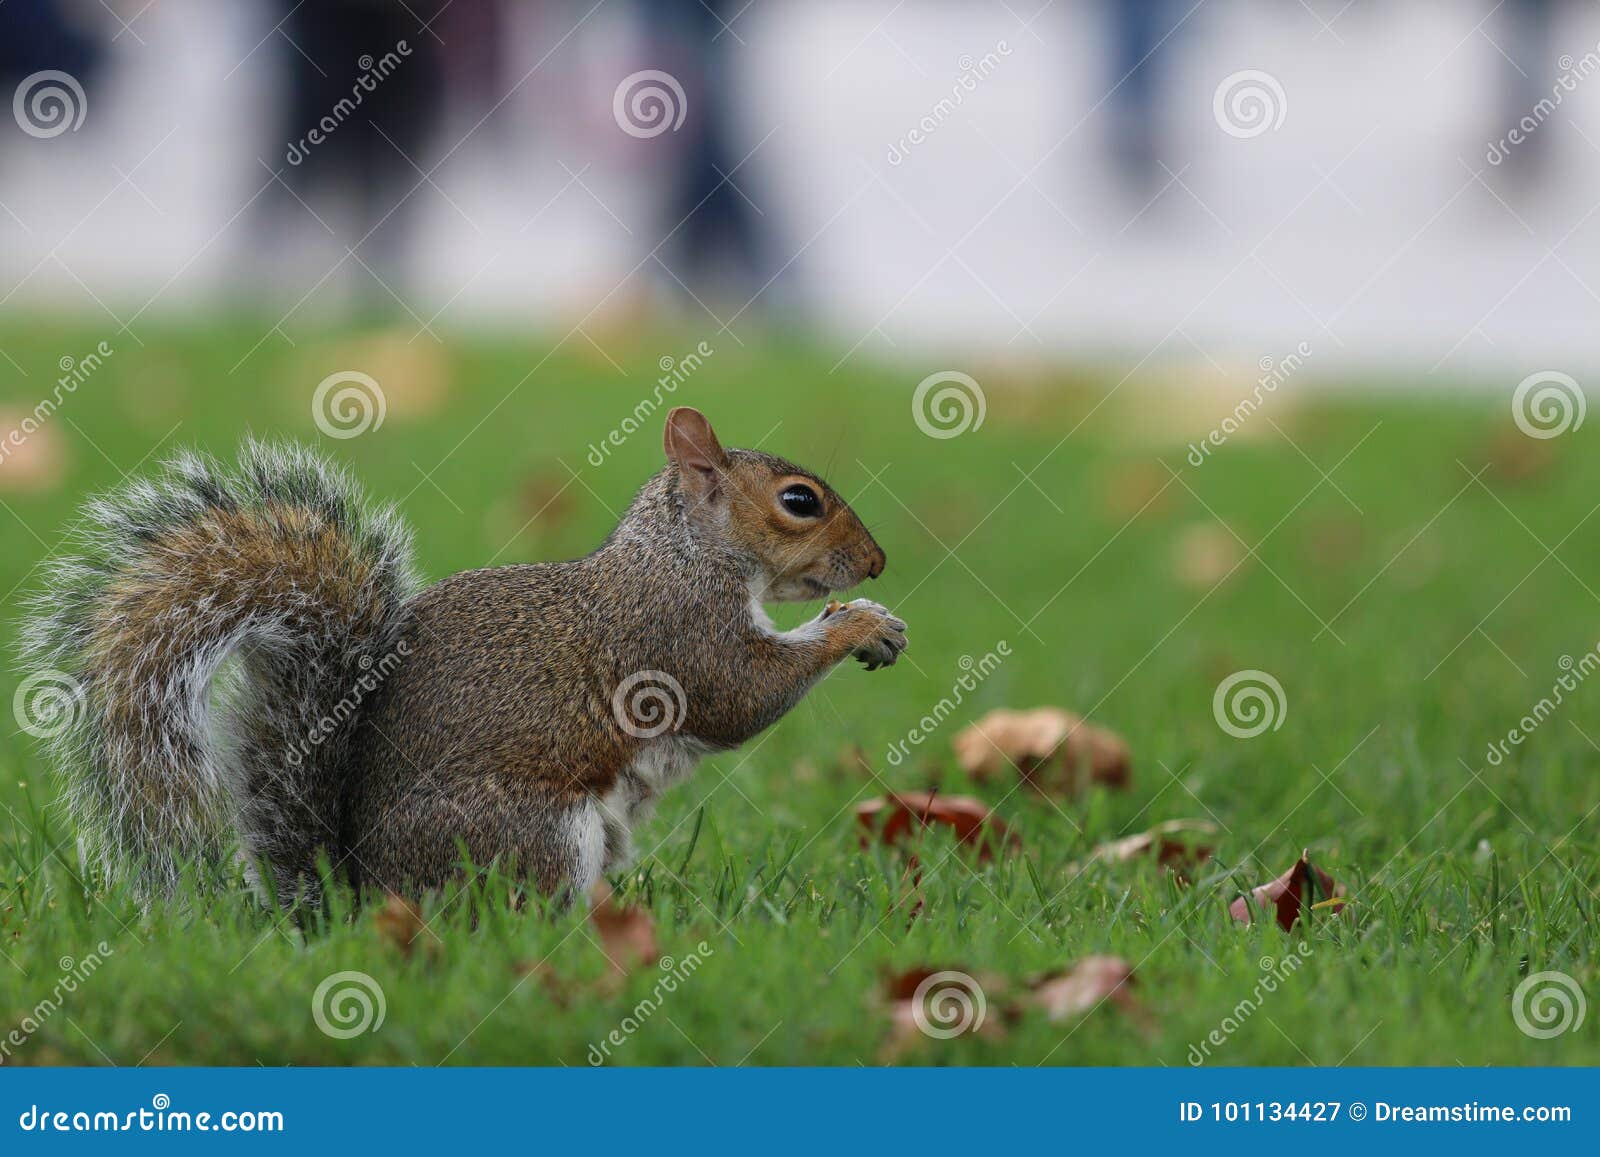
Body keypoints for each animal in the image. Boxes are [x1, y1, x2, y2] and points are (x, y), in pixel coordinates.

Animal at [19, 407, 906, 905]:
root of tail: (362, 899)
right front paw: (859, 625)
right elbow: (744, 693)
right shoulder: (676, 638)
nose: (877, 563)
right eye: (799, 501)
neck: (683, 554)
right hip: (538, 832)